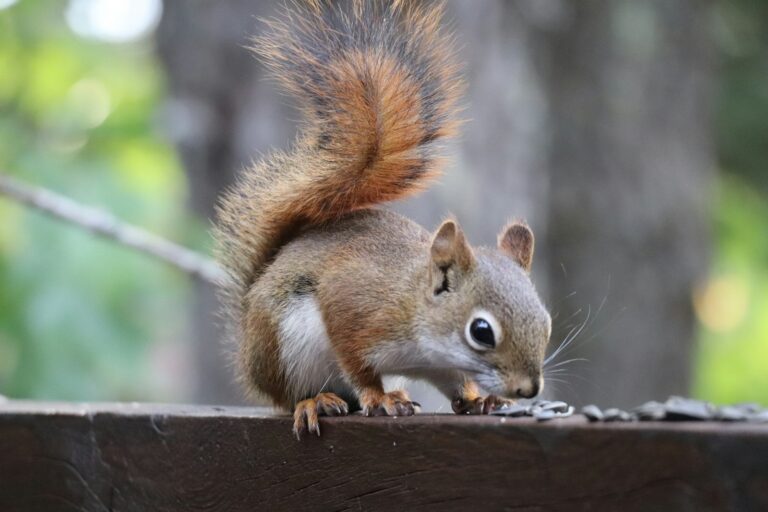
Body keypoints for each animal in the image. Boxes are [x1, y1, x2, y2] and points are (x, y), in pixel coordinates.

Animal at [214, 0, 551, 438]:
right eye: (482, 331)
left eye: (546, 322)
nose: (528, 389)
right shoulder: (353, 305)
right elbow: (358, 364)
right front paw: (378, 398)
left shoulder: (440, 367)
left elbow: (456, 385)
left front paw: (480, 399)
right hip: (282, 348)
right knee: (291, 395)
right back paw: (316, 400)